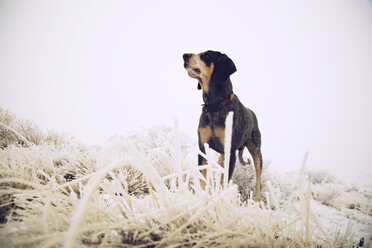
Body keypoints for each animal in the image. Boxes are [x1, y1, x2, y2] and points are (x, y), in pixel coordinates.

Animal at [182, 50, 264, 202]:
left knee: (258, 181)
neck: (215, 106)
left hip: (257, 151)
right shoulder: (202, 147)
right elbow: (203, 179)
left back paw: (259, 202)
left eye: (207, 55)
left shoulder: (230, 151)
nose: (185, 55)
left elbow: (224, 182)